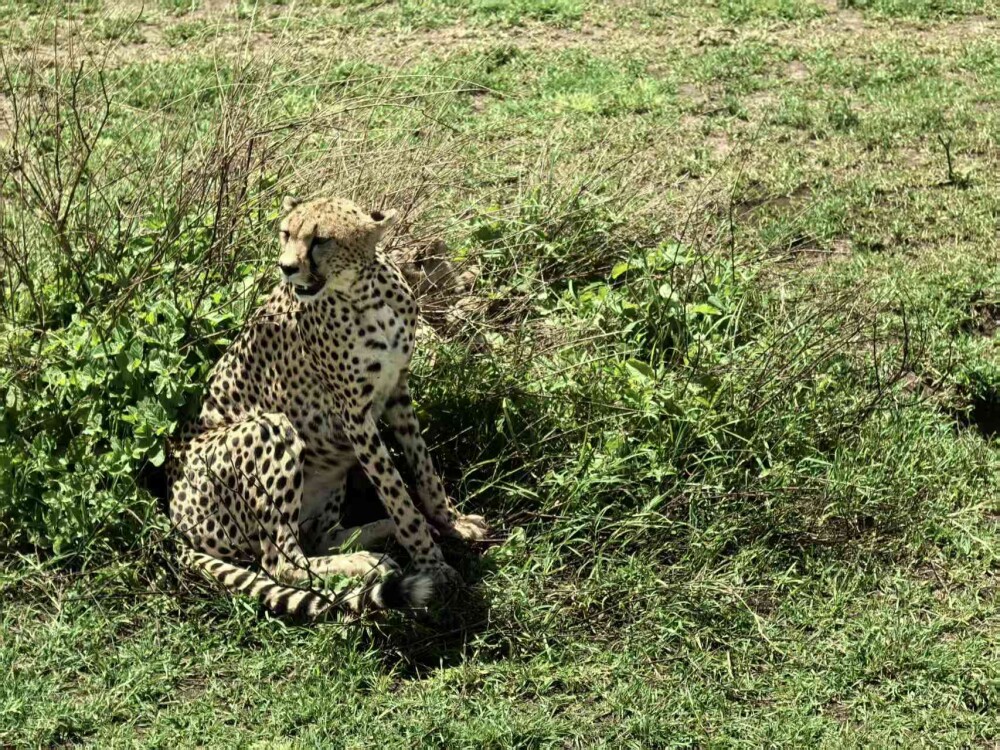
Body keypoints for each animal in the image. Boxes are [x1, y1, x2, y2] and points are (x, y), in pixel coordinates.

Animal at [167, 195, 489, 619]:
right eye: (286, 233)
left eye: (321, 240)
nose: (286, 267)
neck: (367, 294)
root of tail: (173, 517)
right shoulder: (355, 415)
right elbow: (397, 493)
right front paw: (432, 565)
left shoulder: (397, 390)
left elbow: (424, 471)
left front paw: (450, 521)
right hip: (270, 427)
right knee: (281, 562)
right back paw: (364, 562)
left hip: (331, 470)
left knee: (317, 538)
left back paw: (373, 546)